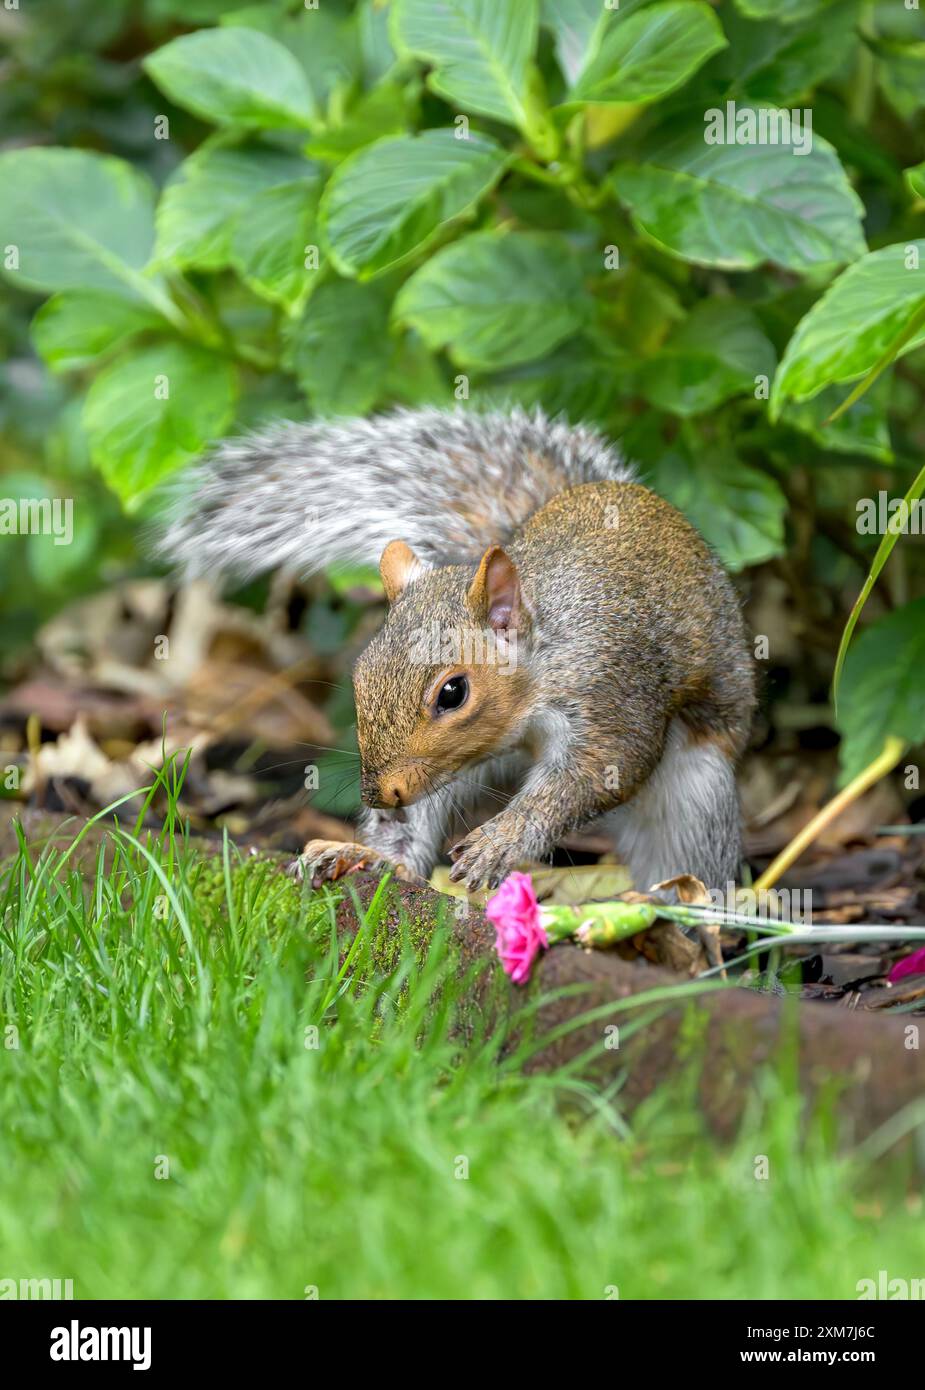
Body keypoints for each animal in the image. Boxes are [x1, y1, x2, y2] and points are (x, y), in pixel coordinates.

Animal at [162, 405, 756, 895]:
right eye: (360, 677)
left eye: (453, 692)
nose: (378, 795)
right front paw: (373, 854)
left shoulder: (610, 692)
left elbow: (599, 771)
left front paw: (501, 843)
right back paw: (383, 861)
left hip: (693, 794)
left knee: (683, 858)